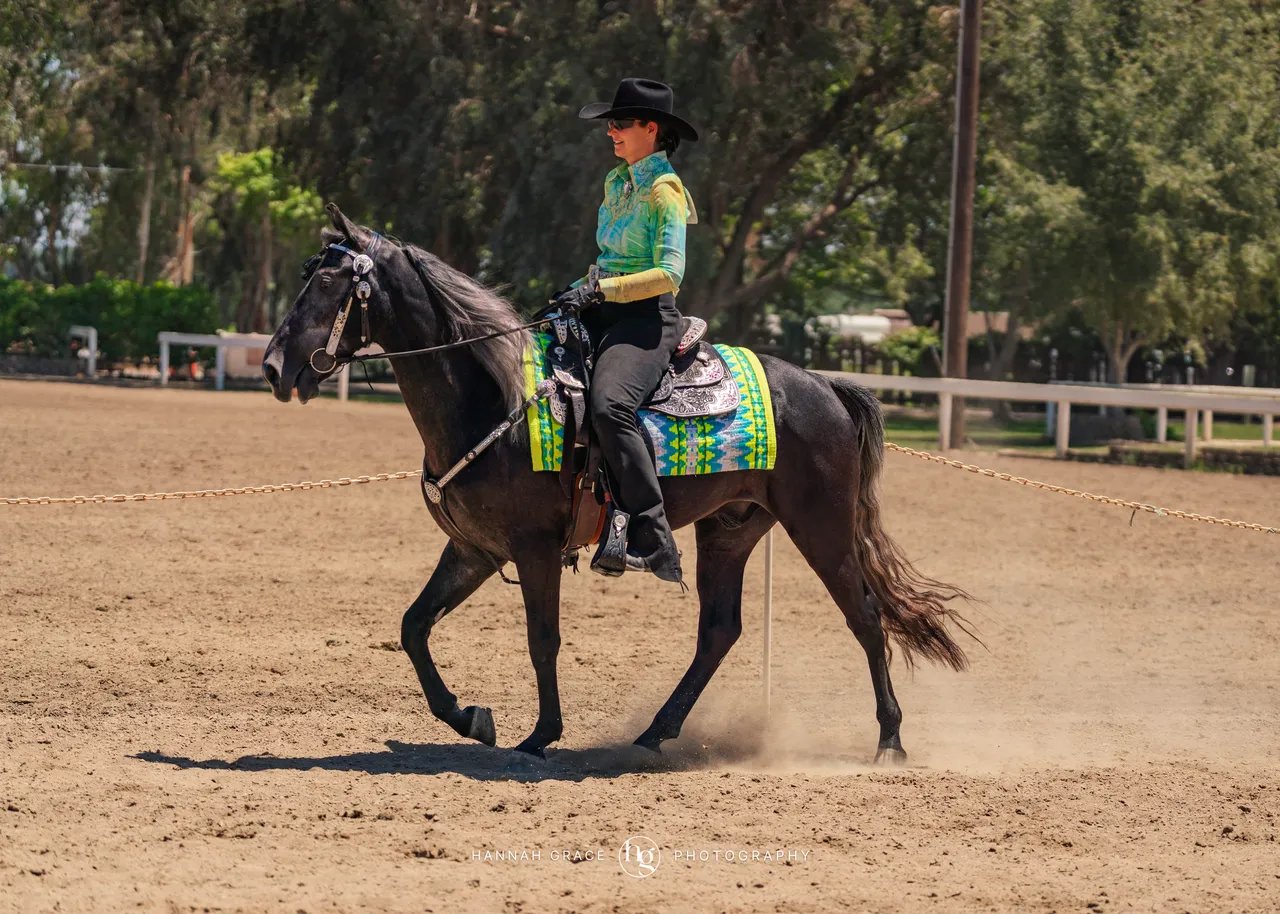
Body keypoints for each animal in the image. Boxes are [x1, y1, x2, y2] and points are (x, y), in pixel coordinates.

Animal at [262, 204, 971, 764]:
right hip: (730, 531)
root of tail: (825, 386)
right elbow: (414, 627)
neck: (496, 399)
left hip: (820, 526)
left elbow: (542, 640)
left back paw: (889, 741)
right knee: (719, 631)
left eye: (329, 282)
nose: (273, 366)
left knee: (864, 616)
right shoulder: (475, 549)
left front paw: (540, 735)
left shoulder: (534, 548)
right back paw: (656, 733)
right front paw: (471, 718)